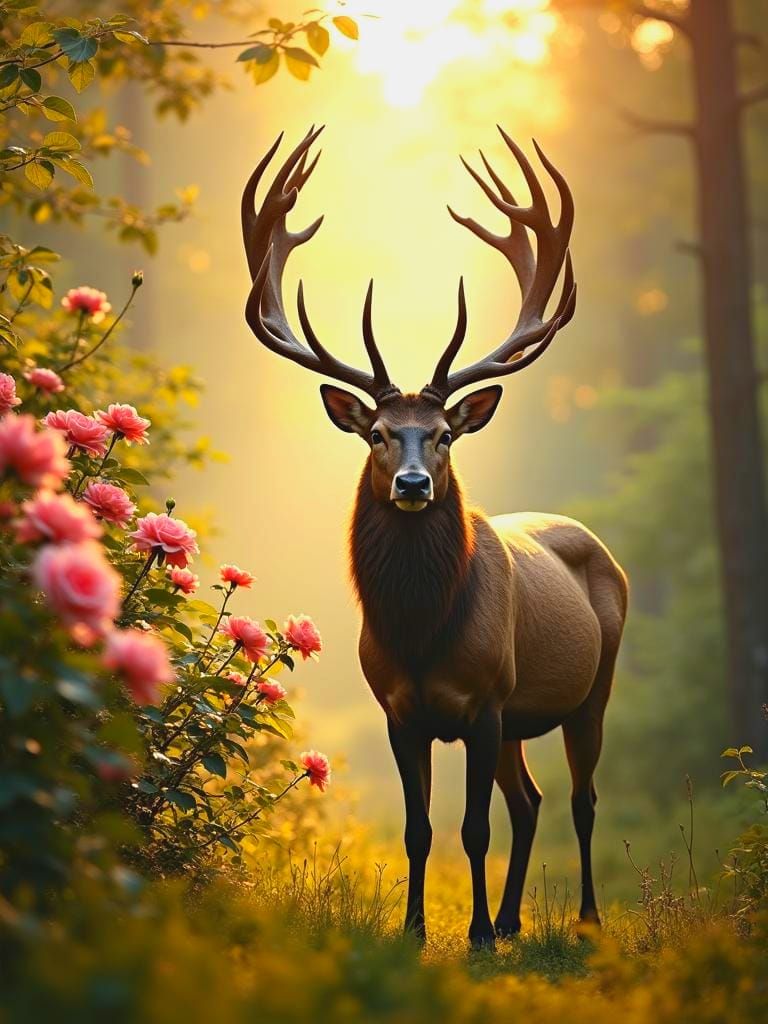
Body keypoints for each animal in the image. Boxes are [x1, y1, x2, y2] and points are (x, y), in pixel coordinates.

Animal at [241, 126, 628, 950]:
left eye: (445, 433)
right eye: (379, 434)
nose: (413, 485)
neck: (422, 632)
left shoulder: (484, 701)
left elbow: (472, 828)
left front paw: (473, 931)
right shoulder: (399, 709)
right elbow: (419, 828)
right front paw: (416, 929)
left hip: (592, 685)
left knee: (578, 799)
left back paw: (581, 918)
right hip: (521, 716)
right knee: (531, 800)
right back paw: (513, 919)